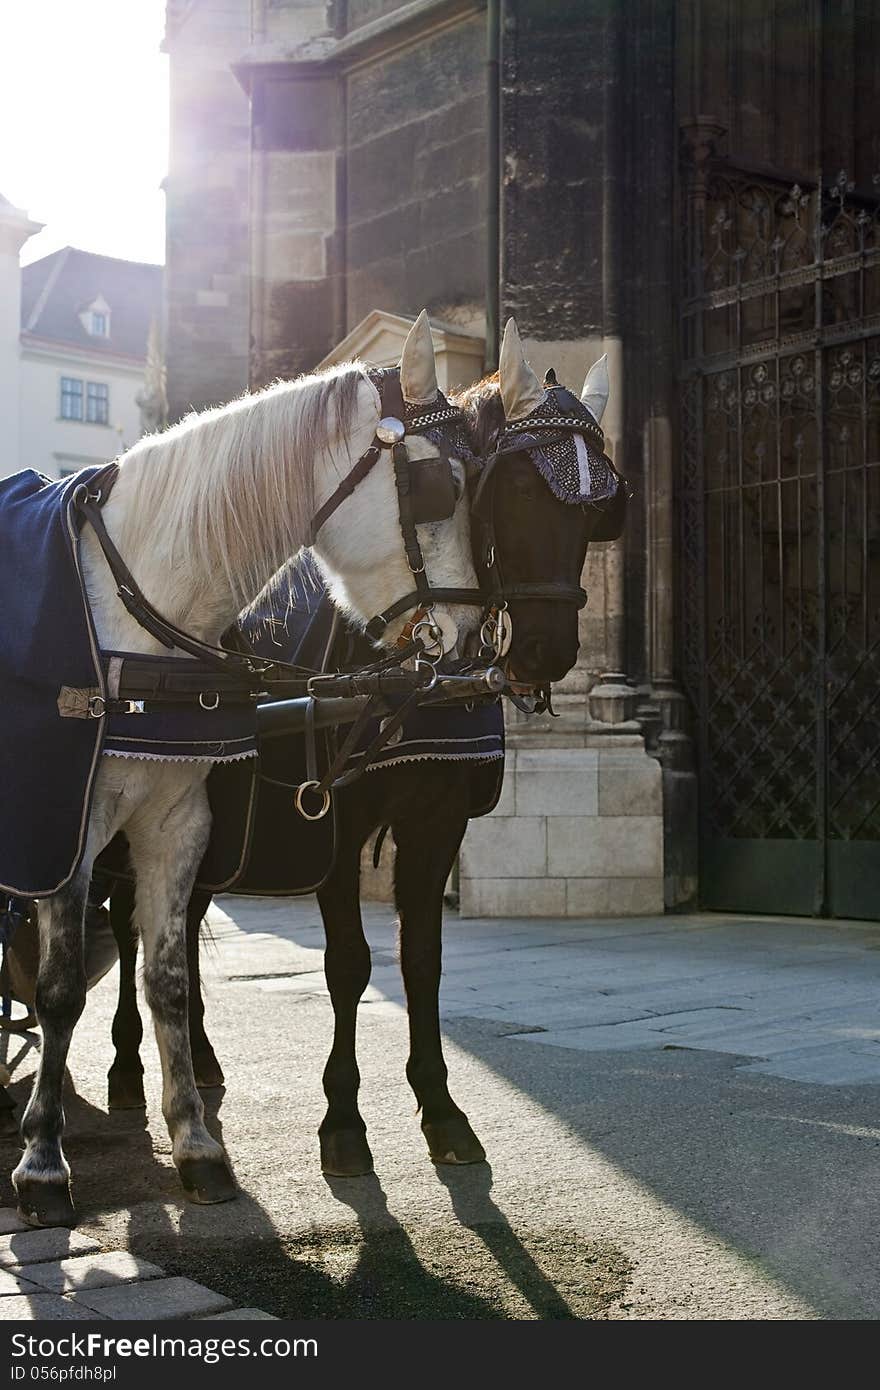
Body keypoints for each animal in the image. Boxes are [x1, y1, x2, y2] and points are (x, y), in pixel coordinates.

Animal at [11, 309, 481, 1223]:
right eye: (438, 484)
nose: (472, 634)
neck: (130, 609)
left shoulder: (173, 822)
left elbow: (166, 978)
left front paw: (197, 1145)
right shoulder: (64, 824)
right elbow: (57, 991)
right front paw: (44, 1160)